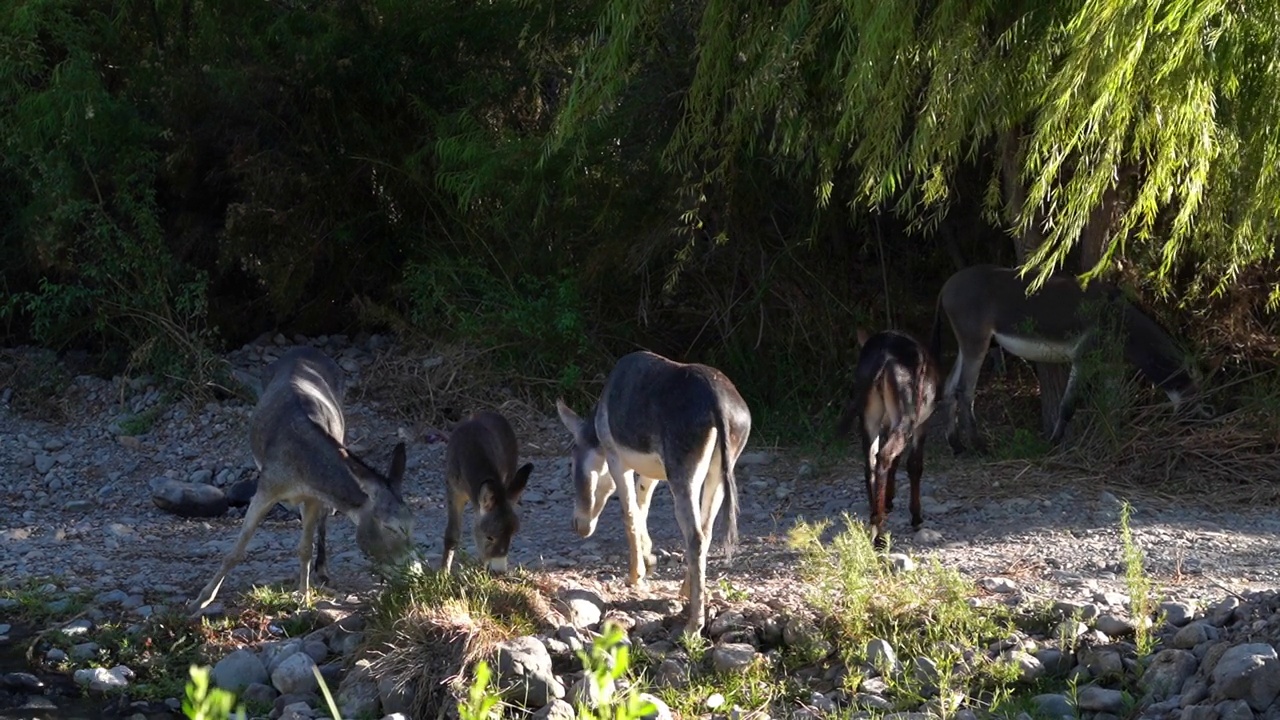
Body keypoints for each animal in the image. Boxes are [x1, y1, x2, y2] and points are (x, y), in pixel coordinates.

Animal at [442, 409, 532, 571]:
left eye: (511, 535)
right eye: (489, 537)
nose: (499, 571)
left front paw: (480, 571)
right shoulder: (452, 489)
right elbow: (452, 535)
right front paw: (442, 573)